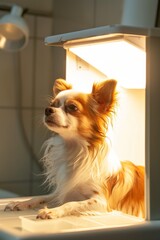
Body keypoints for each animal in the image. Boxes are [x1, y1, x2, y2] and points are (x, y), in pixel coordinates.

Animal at [5, 78, 145, 218]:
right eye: (52, 104)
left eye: (72, 107)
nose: (48, 110)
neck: (74, 151)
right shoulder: (62, 192)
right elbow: (40, 197)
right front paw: (20, 203)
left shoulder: (102, 202)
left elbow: (71, 203)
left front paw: (53, 211)